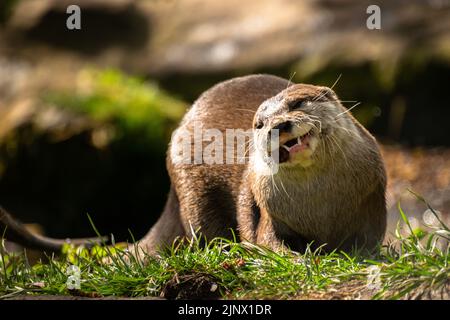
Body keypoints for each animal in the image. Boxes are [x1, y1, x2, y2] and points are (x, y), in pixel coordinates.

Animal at [0, 75, 386, 255]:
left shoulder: (372, 201)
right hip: (193, 191)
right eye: (259, 123)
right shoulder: (269, 213)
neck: (321, 207)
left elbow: (369, 241)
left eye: (297, 103)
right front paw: (299, 258)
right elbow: (268, 241)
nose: (277, 126)